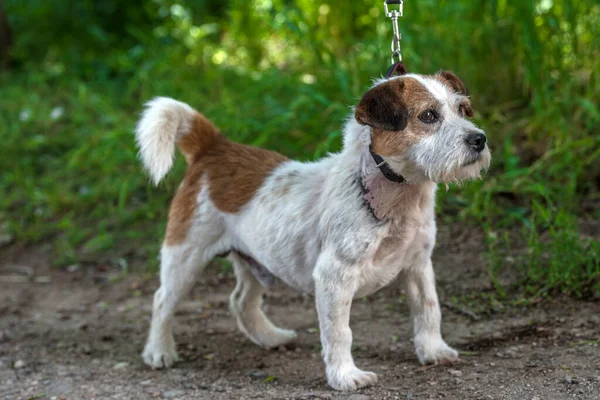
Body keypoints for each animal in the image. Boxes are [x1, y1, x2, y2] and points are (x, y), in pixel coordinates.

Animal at [136, 71, 492, 390]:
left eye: (463, 109)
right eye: (428, 115)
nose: (479, 139)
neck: (393, 196)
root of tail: (214, 148)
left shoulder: (418, 266)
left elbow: (428, 309)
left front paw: (433, 351)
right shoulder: (334, 277)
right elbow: (339, 332)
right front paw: (345, 377)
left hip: (255, 260)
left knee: (241, 301)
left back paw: (271, 337)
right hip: (185, 257)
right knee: (161, 301)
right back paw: (159, 352)